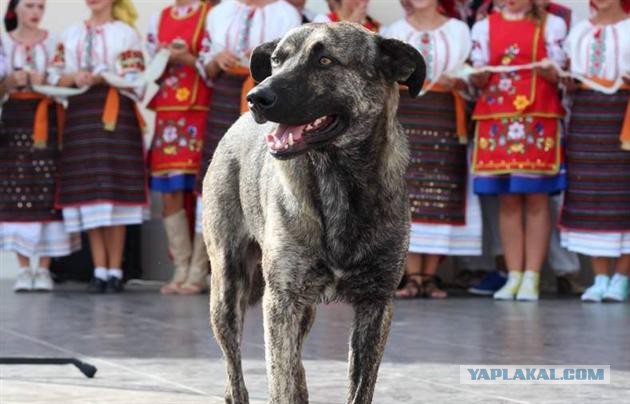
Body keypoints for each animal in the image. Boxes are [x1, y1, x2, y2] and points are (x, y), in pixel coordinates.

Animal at [202, 22, 428, 404]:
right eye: (277, 60)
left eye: (325, 60)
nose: (256, 97)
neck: (337, 179)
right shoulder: (280, 301)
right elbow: (280, 382)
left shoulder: (376, 304)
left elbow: (359, 387)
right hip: (228, 288)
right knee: (236, 376)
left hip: (301, 308)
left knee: (296, 366)